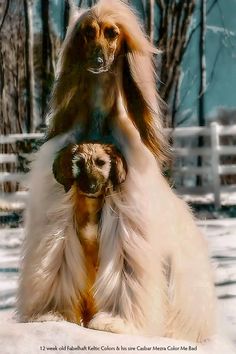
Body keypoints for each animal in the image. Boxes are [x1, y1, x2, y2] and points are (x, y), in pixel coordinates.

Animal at [17, 0, 218, 344]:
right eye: (87, 33)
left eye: (112, 33)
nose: (98, 62)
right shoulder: (59, 220)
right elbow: (56, 261)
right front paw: (51, 314)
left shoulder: (128, 222)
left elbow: (126, 269)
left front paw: (116, 323)